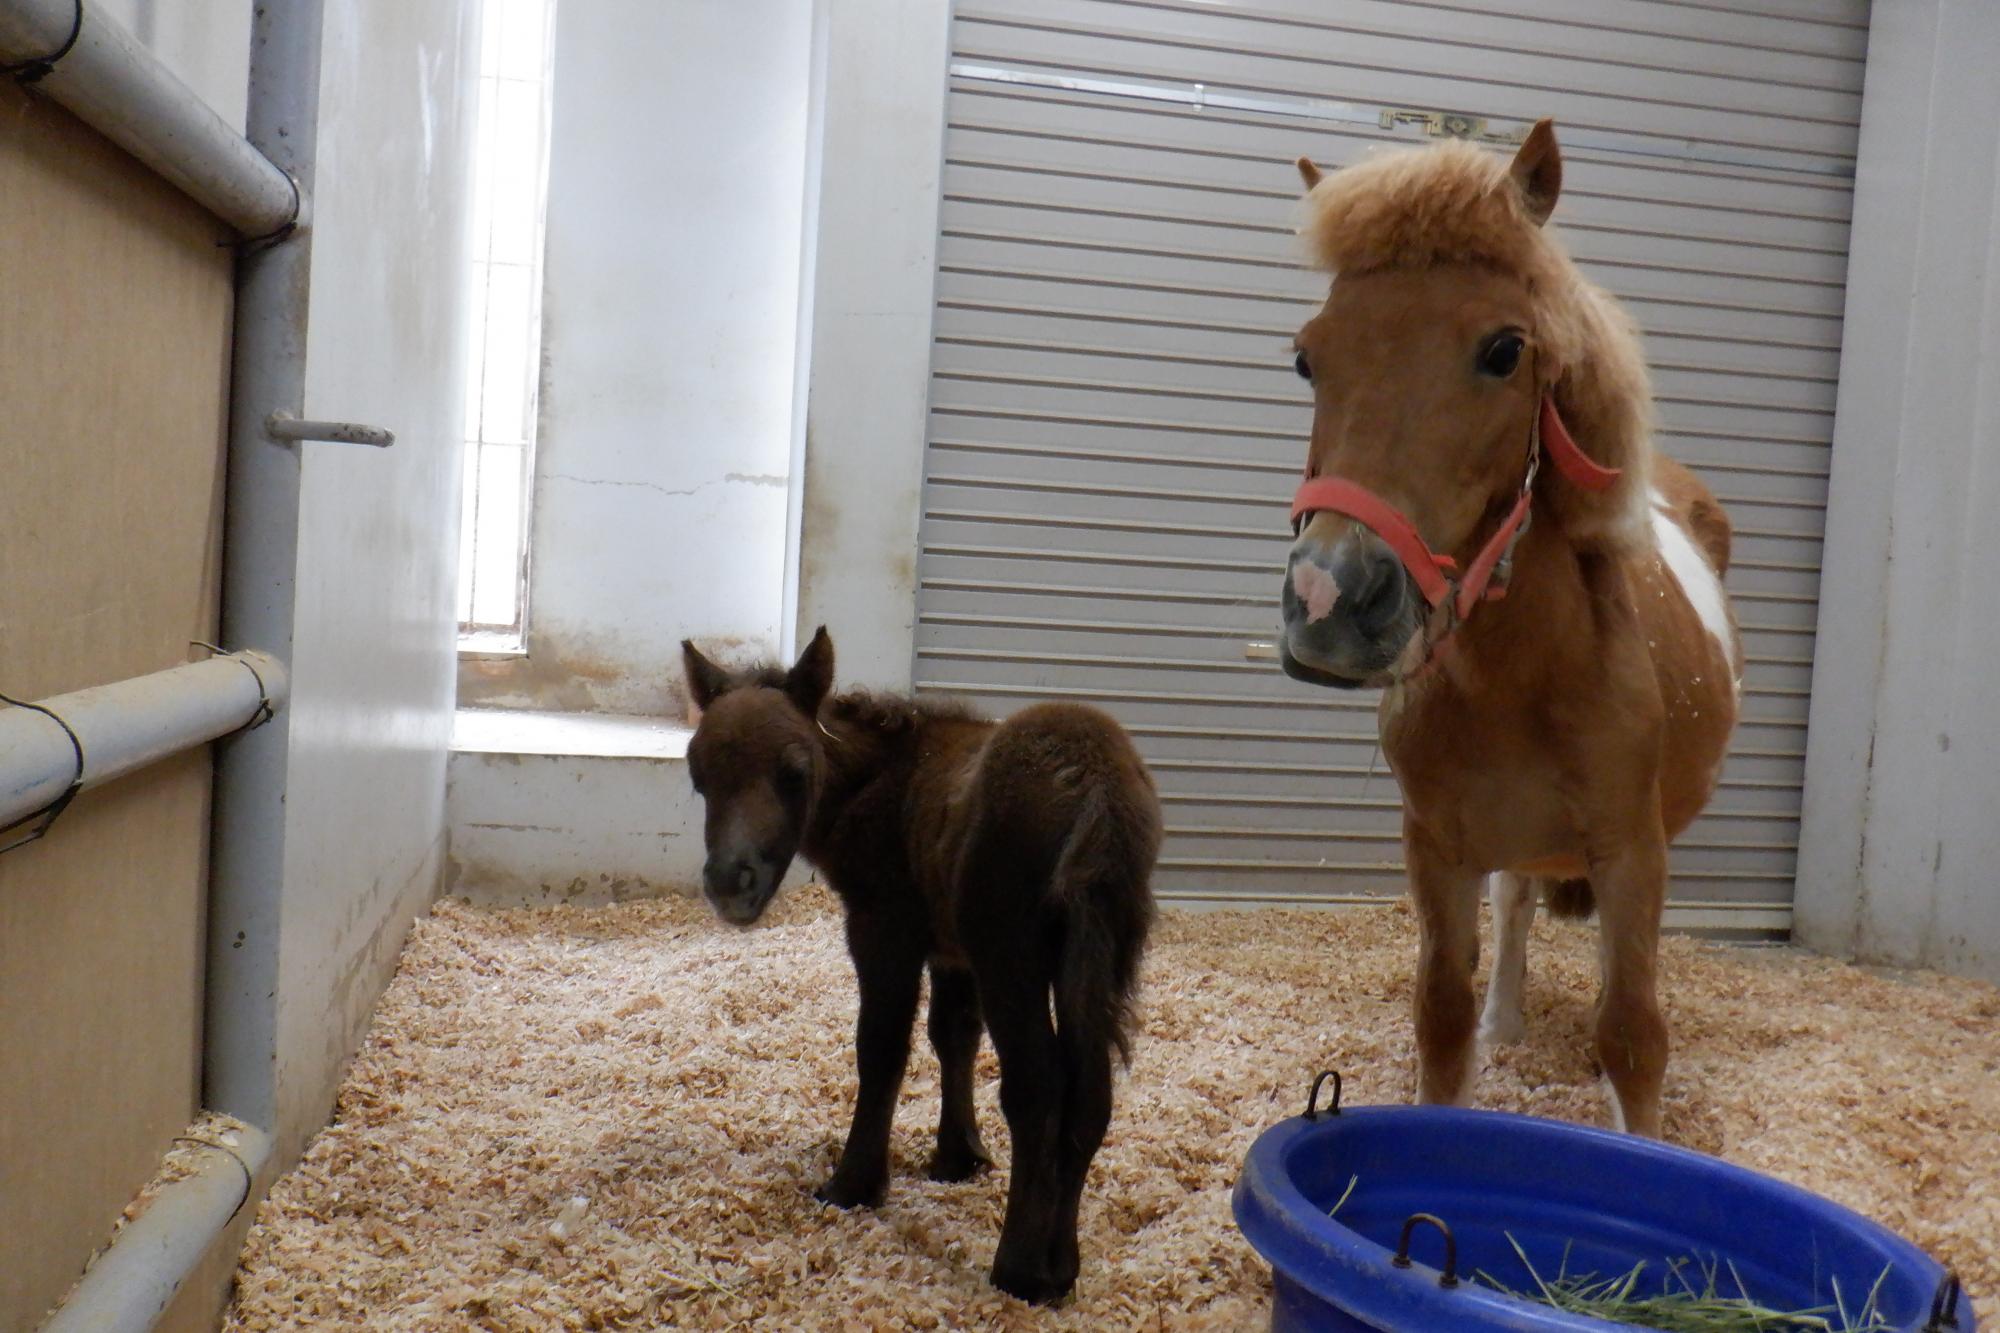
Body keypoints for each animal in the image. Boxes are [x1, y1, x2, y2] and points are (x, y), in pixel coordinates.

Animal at [684, 628, 1160, 1304]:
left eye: (794, 773)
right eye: (698, 776)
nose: (731, 884)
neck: (881, 777)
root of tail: (1096, 793)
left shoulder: (884, 930)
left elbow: (882, 1048)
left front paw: (854, 1184)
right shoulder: (953, 954)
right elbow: (953, 1037)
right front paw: (958, 1158)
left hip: (1012, 958)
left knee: (1037, 1087)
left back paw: (1020, 1268)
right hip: (1097, 961)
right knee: (1090, 1094)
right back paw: (1061, 1266)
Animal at [1280, 122, 1736, 1128]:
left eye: (1502, 350)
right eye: (1306, 357)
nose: (1329, 600)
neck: (1523, 672)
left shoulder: (1630, 849)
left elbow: (1632, 1031)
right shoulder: (1438, 843)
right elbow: (1441, 1014)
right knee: (1518, 900)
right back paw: (1508, 1022)